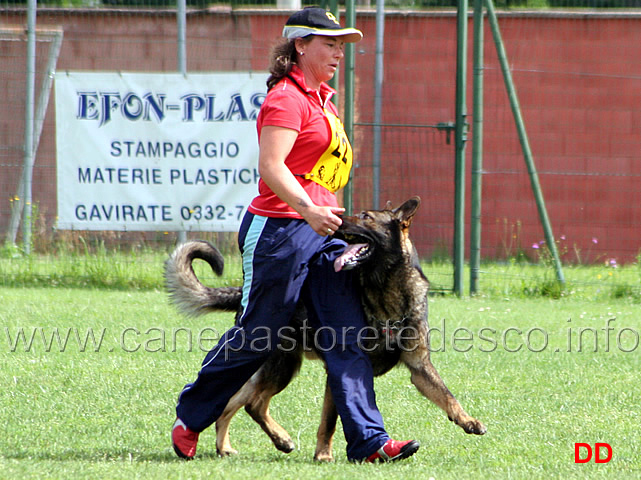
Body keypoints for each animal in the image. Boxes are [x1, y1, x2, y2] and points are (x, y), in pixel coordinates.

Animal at [165, 196, 484, 462]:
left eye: (366, 217)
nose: (336, 218)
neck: (384, 290)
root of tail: (243, 291)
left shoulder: (419, 368)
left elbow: (447, 395)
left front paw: (468, 421)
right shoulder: (339, 370)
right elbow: (329, 421)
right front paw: (324, 455)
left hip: (279, 368)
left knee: (244, 403)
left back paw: (240, 445)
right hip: (278, 366)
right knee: (240, 401)